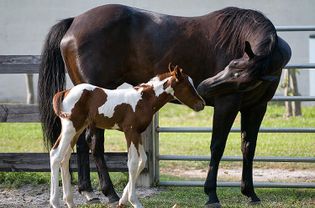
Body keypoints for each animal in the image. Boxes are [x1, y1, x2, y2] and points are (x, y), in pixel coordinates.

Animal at [50, 66, 205, 207]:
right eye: (187, 85)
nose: (201, 104)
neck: (143, 100)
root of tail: (66, 91)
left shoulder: (137, 133)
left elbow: (143, 160)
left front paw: (123, 200)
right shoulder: (129, 132)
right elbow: (133, 162)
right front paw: (134, 201)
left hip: (77, 129)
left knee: (65, 157)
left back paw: (69, 202)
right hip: (71, 127)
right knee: (55, 154)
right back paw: (55, 202)